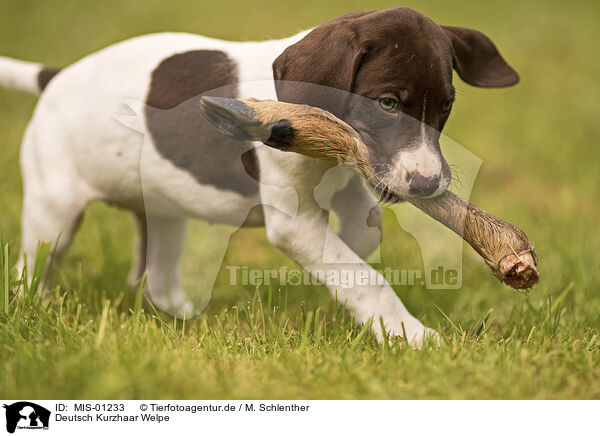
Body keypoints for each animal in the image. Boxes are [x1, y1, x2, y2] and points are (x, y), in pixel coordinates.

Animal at [0, 7, 516, 348]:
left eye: (445, 106)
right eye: (387, 103)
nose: (428, 184)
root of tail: (56, 78)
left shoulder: (352, 175)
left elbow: (362, 233)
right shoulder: (295, 222)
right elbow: (364, 278)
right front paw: (412, 336)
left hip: (162, 209)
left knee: (156, 272)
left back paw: (181, 317)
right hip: (54, 208)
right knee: (33, 266)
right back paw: (33, 309)